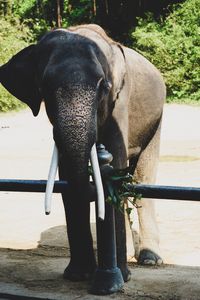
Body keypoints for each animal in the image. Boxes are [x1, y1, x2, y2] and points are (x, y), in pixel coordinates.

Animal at [0, 24, 166, 292]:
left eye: (105, 87)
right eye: (44, 87)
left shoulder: (120, 101)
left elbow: (116, 162)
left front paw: (121, 278)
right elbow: (68, 173)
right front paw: (78, 276)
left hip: (156, 120)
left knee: (143, 177)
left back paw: (150, 260)